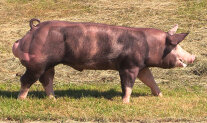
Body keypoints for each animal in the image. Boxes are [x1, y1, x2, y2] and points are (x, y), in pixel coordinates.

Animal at [12, 18, 194, 103]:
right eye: (175, 45)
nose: (193, 57)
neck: (149, 44)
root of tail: (33, 29)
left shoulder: (141, 66)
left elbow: (150, 80)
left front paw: (161, 96)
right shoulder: (128, 66)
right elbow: (128, 84)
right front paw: (125, 103)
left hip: (48, 64)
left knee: (47, 79)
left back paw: (53, 99)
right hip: (37, 62)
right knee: (26, 79)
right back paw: (21, 100)